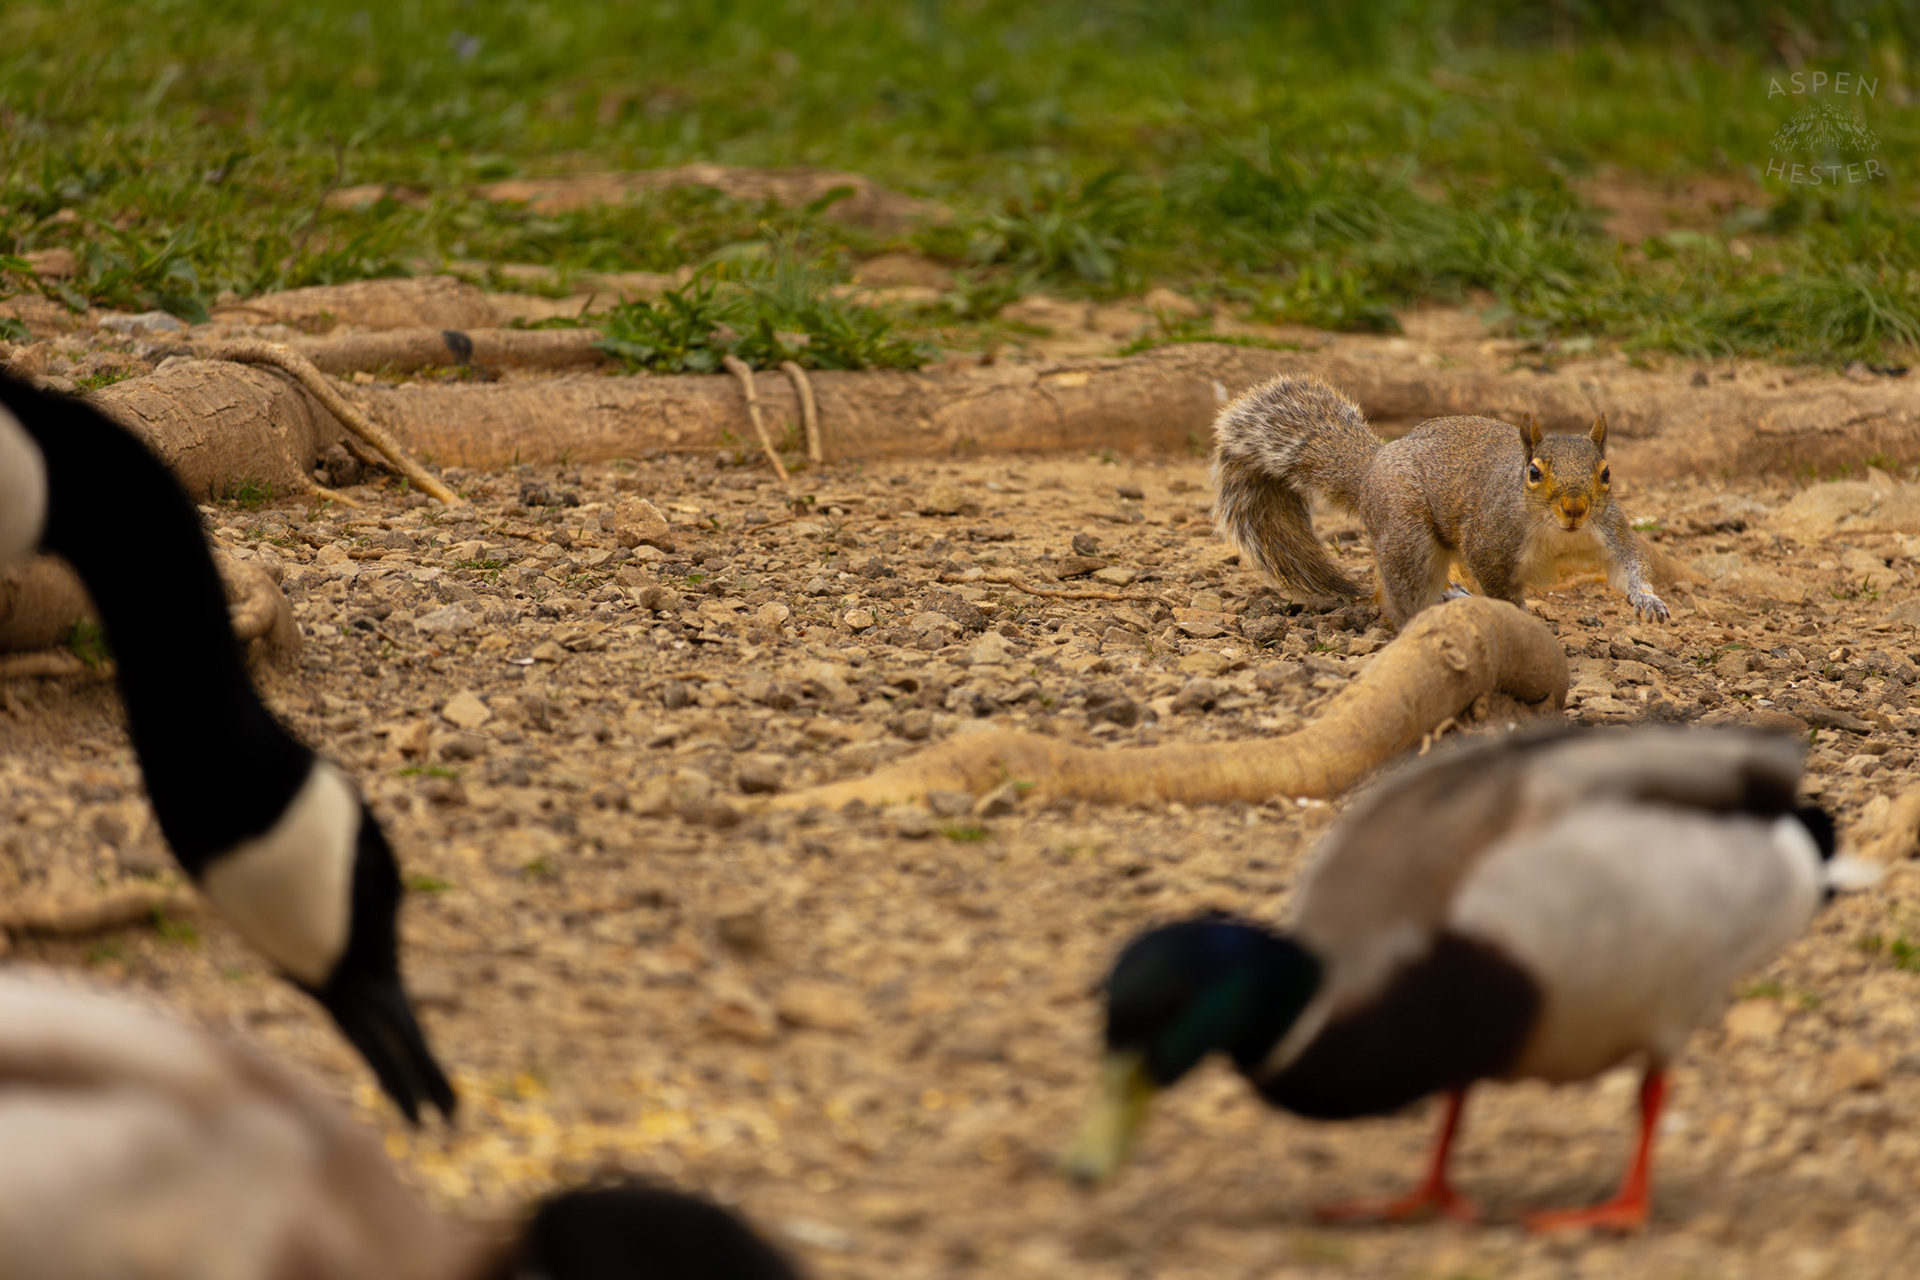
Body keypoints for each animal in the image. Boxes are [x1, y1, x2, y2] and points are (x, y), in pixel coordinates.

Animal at [1210, 373, 1669, 629]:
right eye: (1534, 472)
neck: (1559, 534)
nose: (1575, 509)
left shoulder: (1608, 530)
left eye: (1606, 473)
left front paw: (1648, 599)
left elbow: (1629, 564)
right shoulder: (1489, 540)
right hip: (1405, 524)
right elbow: (1497, 584)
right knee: (1401, 586)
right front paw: (1516, 613)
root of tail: (1372, 469)